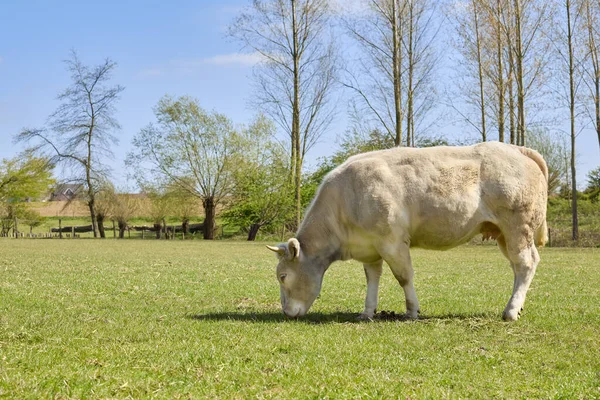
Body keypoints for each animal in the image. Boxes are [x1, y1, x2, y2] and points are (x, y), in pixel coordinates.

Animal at [268, 142, 548, 320]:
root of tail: (516, 148)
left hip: (517, 226)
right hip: (503, 233)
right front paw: (367, 312)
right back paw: (516, 306)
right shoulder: (369, 247)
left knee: (525, 264)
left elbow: (404, 277)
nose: (286, 312)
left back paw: (511, 311)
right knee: (521, 265)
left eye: (283, 276)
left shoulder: (392, 241)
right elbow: (372, 278)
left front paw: (412, 311)